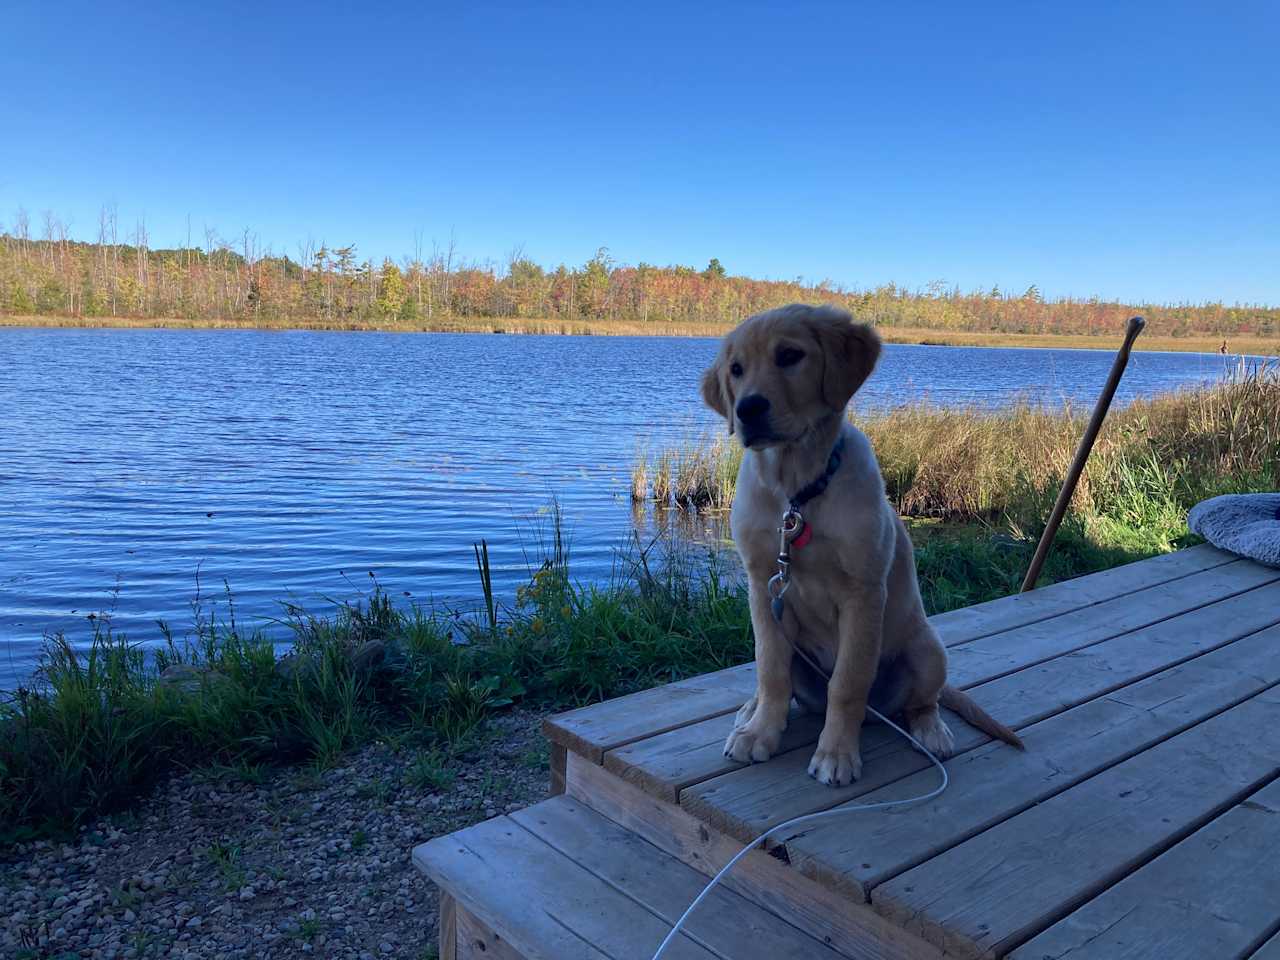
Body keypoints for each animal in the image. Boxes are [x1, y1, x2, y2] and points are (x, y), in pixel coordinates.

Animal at [701, 304, 1018, 783]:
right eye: (735, 370)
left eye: (790, 355)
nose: (748, 408)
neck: (797, 492)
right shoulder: (763, 586)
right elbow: (771, 669)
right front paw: (760, 733)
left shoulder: (863, 592)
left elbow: (847, 683)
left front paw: (836, 753)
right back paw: (751, 710)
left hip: (928, 649)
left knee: (923, 701)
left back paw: (932, 732)